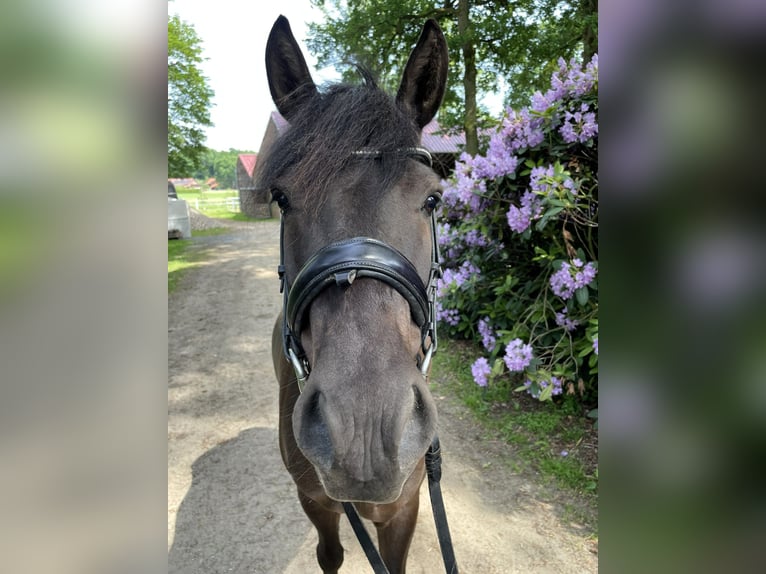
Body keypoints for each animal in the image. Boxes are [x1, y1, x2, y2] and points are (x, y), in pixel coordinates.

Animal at [261, 15, 449, 574]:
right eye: (282, 197)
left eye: (433, 198)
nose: (363, 430)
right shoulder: (317, 503)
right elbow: (331, 554)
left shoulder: (403, 508)